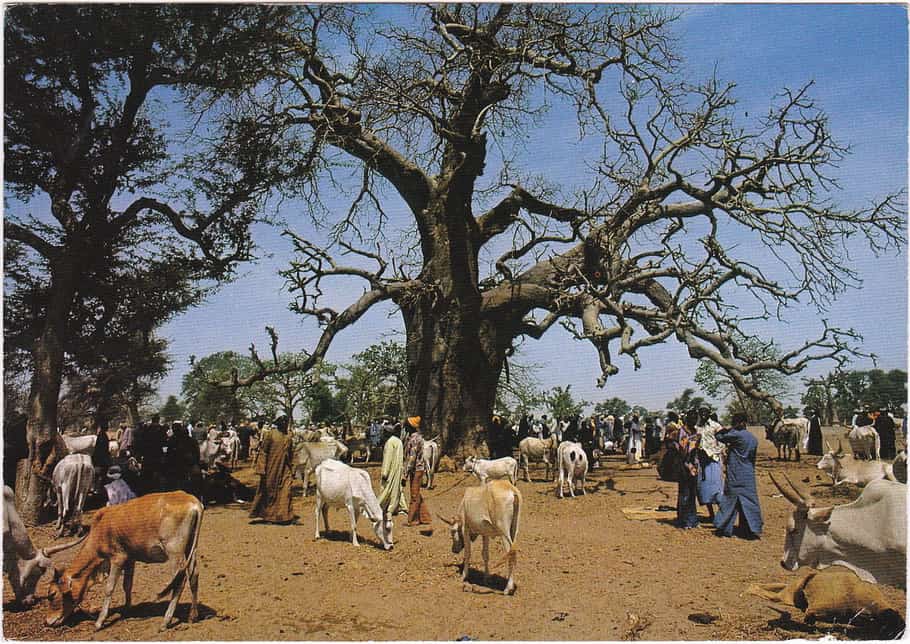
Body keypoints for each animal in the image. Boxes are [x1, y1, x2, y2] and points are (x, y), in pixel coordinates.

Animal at [45, 490, 203, 632]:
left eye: (52, 594)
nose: (47, 621)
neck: (101, 529)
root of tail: (194, 503)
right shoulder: (130, 558)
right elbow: (127, 585)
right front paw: (127, 609)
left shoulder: (117, 558)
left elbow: (109, 588)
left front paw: (99, 622)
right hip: (191, 549)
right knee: (194, 575)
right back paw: (193, 616)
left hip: (174, 552)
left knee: (179, 582)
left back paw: (166, 621)